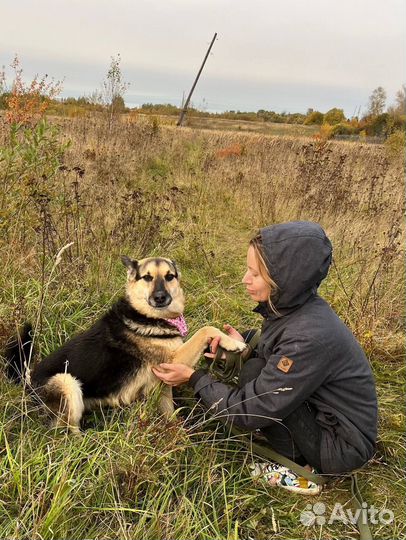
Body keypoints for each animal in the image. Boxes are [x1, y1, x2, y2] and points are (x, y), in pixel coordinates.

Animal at [4, 255, 246, 432]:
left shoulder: (162, 385)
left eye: (169, 277)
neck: (147, 316)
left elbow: (169, 413)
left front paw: (176, 435)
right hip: (67, 382)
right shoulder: (172, 361)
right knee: (65, 433)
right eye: (147, 278)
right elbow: (206, 329)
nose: (160, 298)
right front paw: (234, 343)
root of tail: (27, 382)